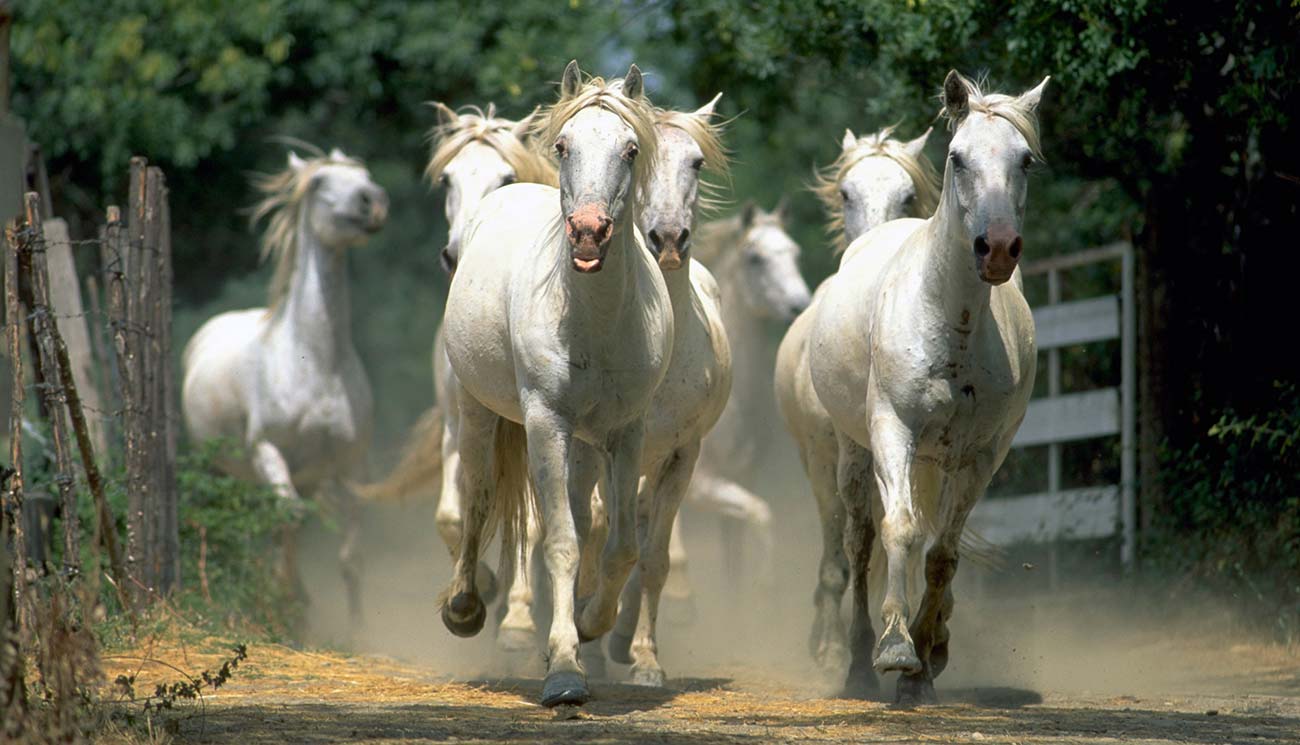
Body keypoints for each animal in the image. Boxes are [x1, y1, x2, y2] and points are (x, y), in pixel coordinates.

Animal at [180, 148, 387, 624]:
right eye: (319, 182)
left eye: (365, 175)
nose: (373, 202)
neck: (315, 364)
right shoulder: (267, 450)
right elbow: (289, 517)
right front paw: (290, 600)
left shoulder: (351, 464)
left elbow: (350, 556)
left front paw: (357, 629)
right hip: (221, 467)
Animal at [358, 103, 556, 650]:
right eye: (447, 178)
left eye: (507, 178)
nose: (457, 253)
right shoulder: (457, 426)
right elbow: (454, 514)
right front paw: (475, 589)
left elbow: (531, 523)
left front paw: (517, 620)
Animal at [441, 61, 676, 707]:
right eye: (564, 146)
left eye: (630, 149)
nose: (590, 233)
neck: (593, 321)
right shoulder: (546, 423)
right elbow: (561, 543)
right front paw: (566, 673)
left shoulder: (627, 431)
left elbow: (619, 547)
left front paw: (590, 625)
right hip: (479, 413)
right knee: (477, 495)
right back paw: (464, 606)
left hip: (587, 447)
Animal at [774, 123, 941, 676]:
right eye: (847, 193)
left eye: (907, 195)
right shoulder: (839, 457)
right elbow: (850, 549)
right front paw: (839, 648)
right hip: (817, 464)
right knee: (836, 549)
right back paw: (826, 641)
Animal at [811, 71, 1045, 702]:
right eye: (958, 157)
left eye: (1025, 159)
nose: (997, 248)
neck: (953, 322)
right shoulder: (893, 431)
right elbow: (901, 531)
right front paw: (896, 649)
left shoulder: (983, 454)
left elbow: (942, 554)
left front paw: (924, 661)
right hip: (855, 452)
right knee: (862, 541)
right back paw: (860, 662)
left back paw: (933, 644)